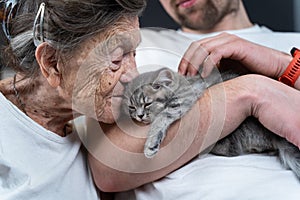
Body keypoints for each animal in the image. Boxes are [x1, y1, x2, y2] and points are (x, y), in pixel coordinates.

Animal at [121, 68, 300, 179]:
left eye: (147, 104)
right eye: (131, 107)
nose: (139, 116)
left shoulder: (182, 100)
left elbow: (161, 118)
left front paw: (150, 144)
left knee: (232, 149)